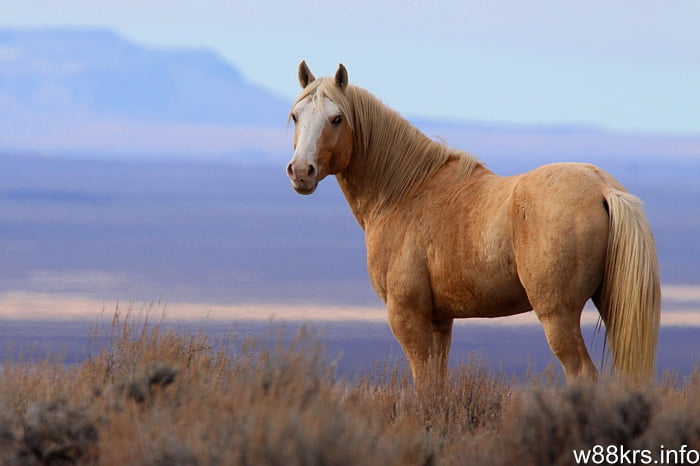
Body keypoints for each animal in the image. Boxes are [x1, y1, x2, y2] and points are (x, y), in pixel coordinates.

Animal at [286, 62, 660, 390]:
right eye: (295, 116)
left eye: (336, 118)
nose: (301, 171)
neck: (404, 191)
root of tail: (603, 188)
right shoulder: (439, 320)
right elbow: (436, 385)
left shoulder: (407, 317)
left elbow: (423, 384)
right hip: (613, 307)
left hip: (558, 315)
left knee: (581, 373)